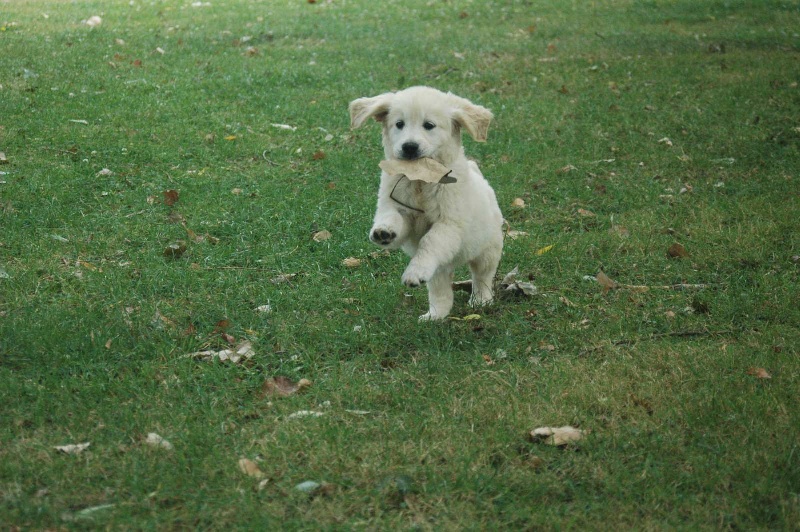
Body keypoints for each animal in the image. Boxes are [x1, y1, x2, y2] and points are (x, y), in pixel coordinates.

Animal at [348, 87, 500, 320]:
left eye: (429, 125)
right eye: (399, 124)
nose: (409, 147)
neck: (420, 178)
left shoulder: (449, 224)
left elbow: (430, 242)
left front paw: (414, 271)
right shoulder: (397, 207)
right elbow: (392, 218)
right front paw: (384, 232)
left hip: (488, 248)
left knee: (482, 276)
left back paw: (481, 300)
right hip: (440, 268)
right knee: (440, 290)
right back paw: (435, 315)